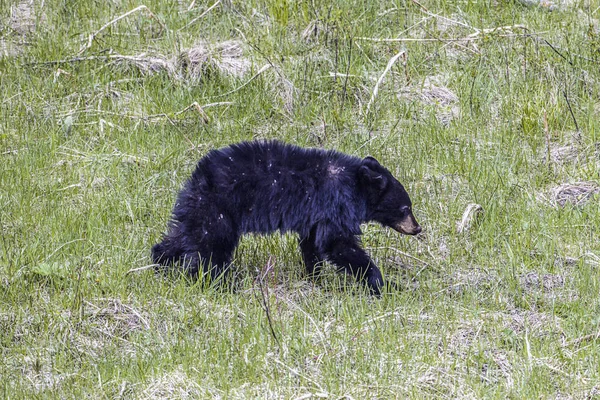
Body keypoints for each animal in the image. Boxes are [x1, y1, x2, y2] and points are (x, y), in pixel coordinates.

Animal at [152, 140, 420, 294]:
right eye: (405, 208)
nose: (417, 228)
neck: (354, 182)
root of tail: (199, 176)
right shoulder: (335, 205)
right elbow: (338, 244)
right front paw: (383, 283)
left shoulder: (316, 216)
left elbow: (312, 244)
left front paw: (315, 277)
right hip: (219, 210)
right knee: (210, 248)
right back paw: (220, 284)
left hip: (197, 208)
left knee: (182, 236)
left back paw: (160, 262)